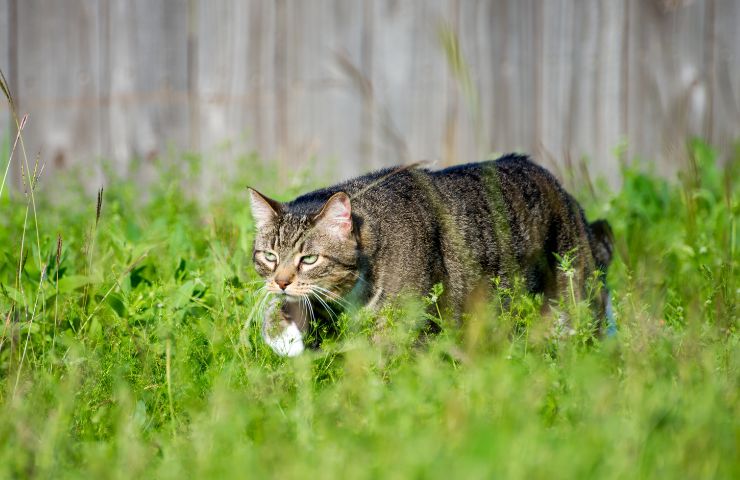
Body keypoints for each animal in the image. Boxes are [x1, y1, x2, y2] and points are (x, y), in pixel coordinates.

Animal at [249, 155, 612, 356]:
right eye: (268, 256)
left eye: (309, 259)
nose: (281, 282)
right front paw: (281, 331)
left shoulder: (404, 328)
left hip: (573, 303)